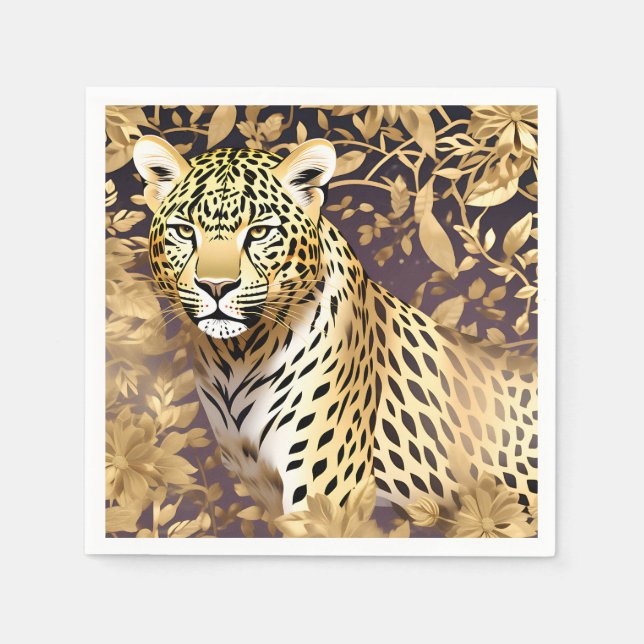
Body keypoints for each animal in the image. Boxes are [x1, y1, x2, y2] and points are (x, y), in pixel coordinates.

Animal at [133, 134, 538, 523]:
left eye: (260, 232)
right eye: (184, 231)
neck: (236, 358)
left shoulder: (322, 486)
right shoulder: (265, 486)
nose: (215, 286)